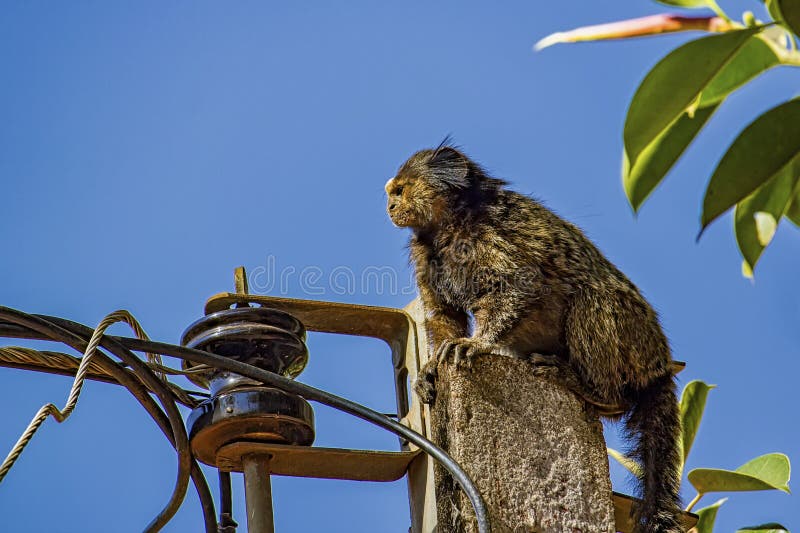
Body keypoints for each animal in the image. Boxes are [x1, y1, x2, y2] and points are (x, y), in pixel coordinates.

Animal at [386, 141, 680, 532]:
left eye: (400, 191)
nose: (389, 206)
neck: (449, 226)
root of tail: (660, 365)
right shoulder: (426, 256)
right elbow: (444, 315)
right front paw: (431, 368)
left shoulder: (491, 234)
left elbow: (518, 284)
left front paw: (479, 343)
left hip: (635, 341)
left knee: (592, 297)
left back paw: (597, 392)